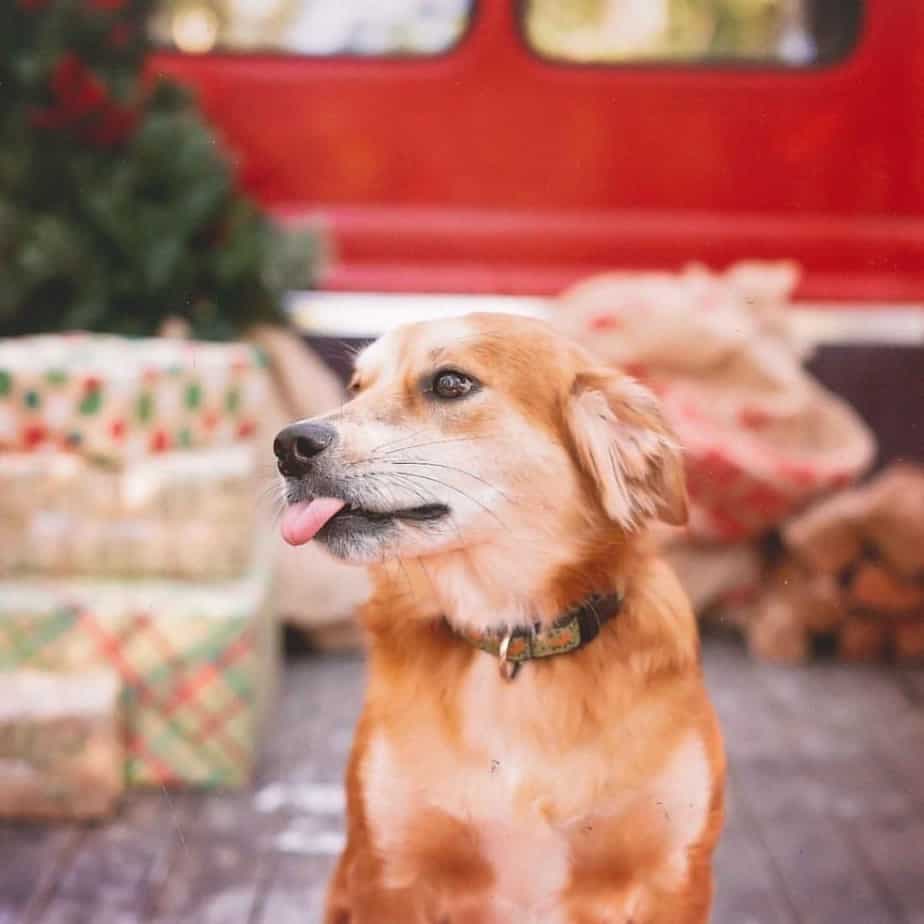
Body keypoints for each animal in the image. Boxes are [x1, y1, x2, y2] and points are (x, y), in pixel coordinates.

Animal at [272, 314, 720, 920]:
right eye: (356, 387)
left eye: (450, 383)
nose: (288, 446)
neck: (512, 639)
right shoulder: (388, 875)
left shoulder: (672, 879)